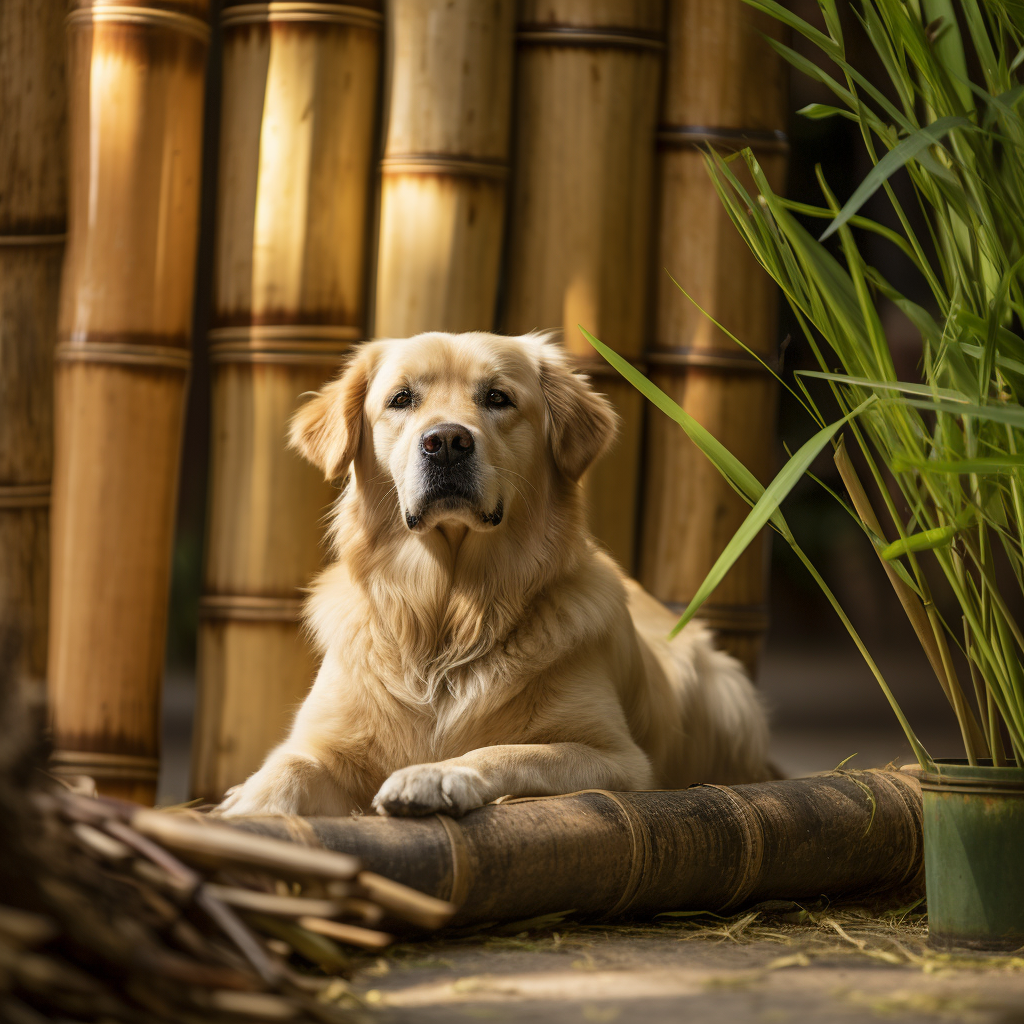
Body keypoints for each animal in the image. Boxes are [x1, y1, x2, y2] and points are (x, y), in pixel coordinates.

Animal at [218, 331, 774, 819]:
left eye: (497, 397)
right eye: (401, 398)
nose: (445, 441)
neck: (446, 618)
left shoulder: (618, 758)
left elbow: (508, 751)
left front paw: (435, 775)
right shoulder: (321, 740)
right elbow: (288, 765)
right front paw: (247, 800)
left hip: (726, 693)